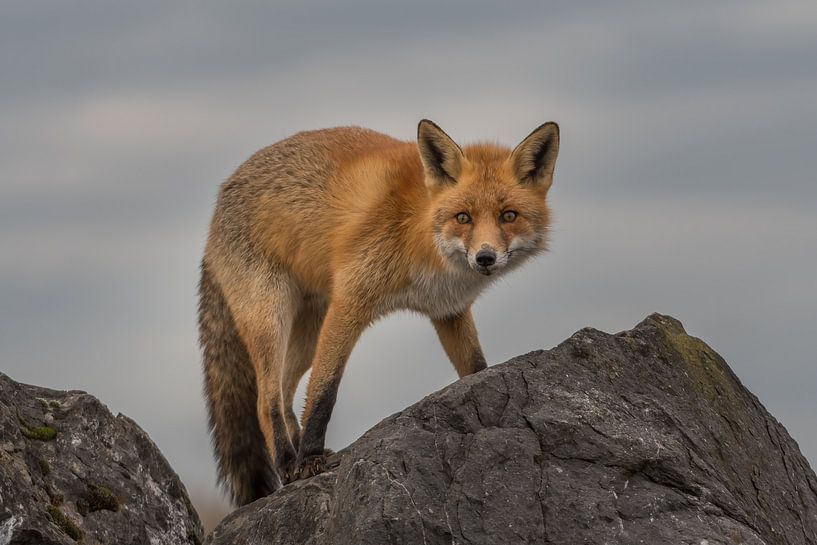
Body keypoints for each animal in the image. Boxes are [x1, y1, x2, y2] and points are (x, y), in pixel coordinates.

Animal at [198, 119, 560, 505]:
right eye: (463, 217)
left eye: (509, 216)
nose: (485, 258)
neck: (421, 233)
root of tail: (218, 203)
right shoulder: (349, 300)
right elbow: (324, 392)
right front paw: (309, 459)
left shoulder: (449, 311)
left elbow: (476, 368)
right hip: (271, 316)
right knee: (265, 402)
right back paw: (287, 461)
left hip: (308, 330)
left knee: (283, 392)